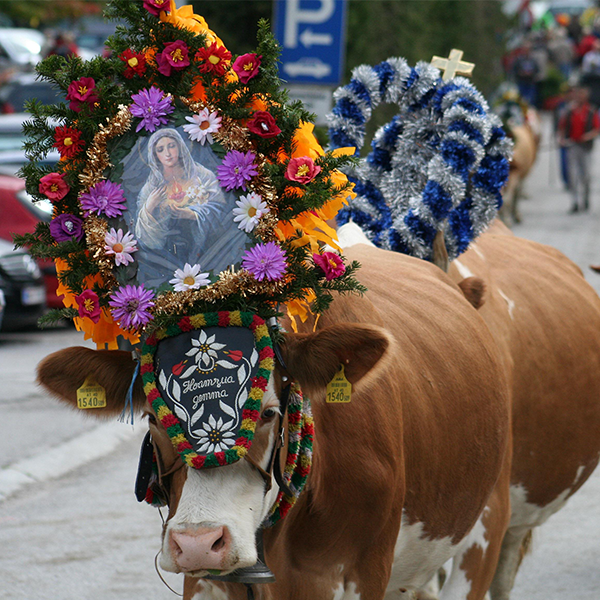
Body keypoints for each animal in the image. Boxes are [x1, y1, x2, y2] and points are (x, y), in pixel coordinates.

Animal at [39, 245, 512, 600]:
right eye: (154, 418)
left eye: (268, 412)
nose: (198, 543)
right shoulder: (205, 582)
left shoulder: (365, 570)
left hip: (489, 519)